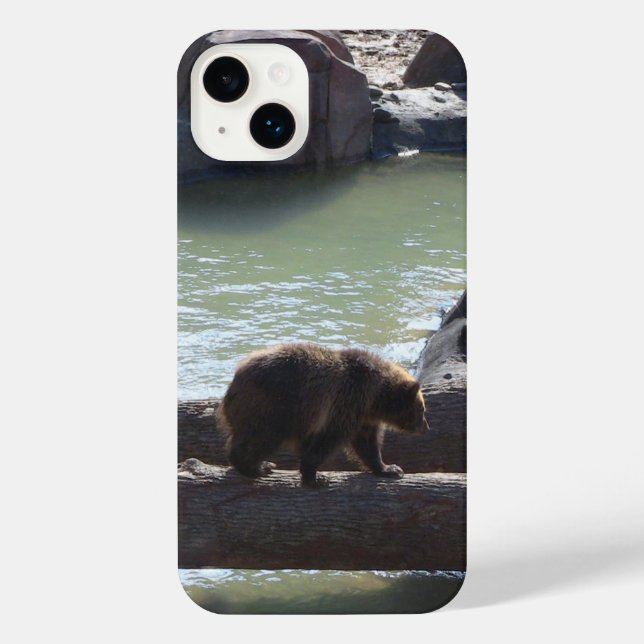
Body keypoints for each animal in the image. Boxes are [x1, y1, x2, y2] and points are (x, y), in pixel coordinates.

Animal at [218, 343, 430, 487]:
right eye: (421, 409)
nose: (426, 427)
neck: (374, 397)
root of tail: (235, 381)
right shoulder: (345, 402)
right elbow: (327, 439)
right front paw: (316, 477)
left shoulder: (361, 416)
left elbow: (367, 444)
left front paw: (389, 469)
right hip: (273, 407)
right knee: (262, 438)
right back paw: (255, 467)